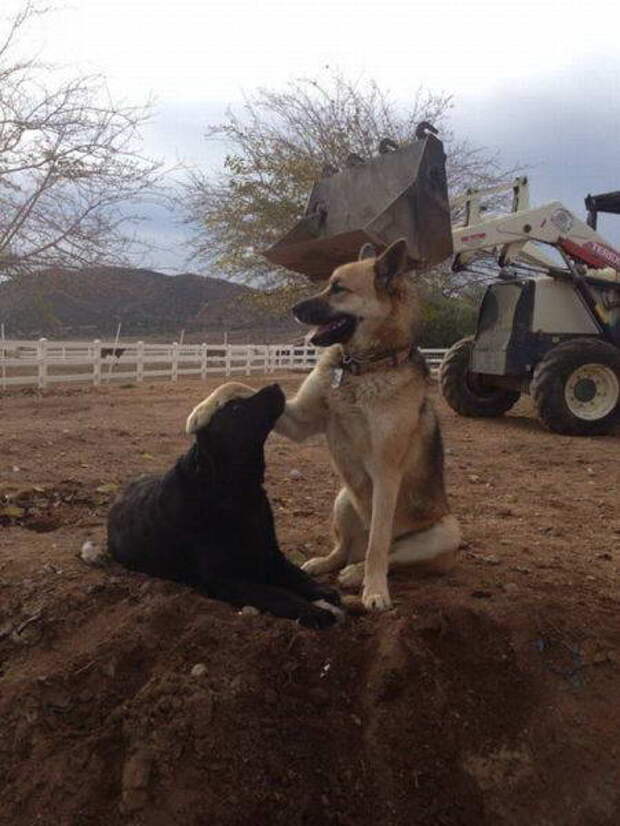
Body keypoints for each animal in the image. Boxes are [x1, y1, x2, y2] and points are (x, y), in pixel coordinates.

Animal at [109, 384, 346, 628]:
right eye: (236, 408)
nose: (275, 385)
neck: (234, 491)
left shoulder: (271, 552)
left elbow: (296, 574)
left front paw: (321, 590)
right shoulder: (223, 579)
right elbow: (278, 594)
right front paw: (313, 612)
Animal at [189, 240, 460, 612]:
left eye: (339, 288)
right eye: (327, 283)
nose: (293, 308)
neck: (359, 368)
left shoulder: (386, 474)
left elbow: (379, 544)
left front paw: (375, 591)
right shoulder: (300, 421)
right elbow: (234, 384)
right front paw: (200, 411)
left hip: (445, 531)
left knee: (386, 552)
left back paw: (358, 574)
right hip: (344, 497)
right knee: (343, 550)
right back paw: (326, 564)